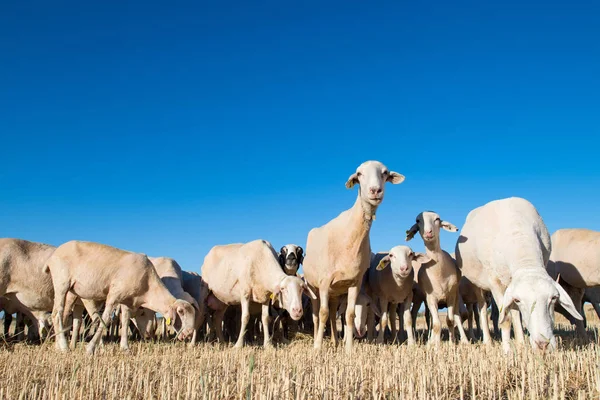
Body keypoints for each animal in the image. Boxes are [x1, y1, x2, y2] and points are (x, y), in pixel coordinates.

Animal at [45, 241, 195, 354]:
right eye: (181, 312)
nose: (188, 333)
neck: (148, 286)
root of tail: (54, 255)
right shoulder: (114, 295)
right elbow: (105, 320)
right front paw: (90, 348)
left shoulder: (127, 300)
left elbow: (126, 320)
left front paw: (125, 348)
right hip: (62, 282)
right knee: (57, 313)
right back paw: (64, 347)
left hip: (71, 291)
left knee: (64, 314)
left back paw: (59, 346)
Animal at [302, 160, 406, 354]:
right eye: (359, 174)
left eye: (385, 173)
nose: (375, 190)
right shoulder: (324, 282)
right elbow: (323, 313)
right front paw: (318, 348)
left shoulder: (354, 282)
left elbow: (349, 314)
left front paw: (349, 348)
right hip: (314, 289)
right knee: (317, 315)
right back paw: (317, 342)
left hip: (335, 292)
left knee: (333, 313)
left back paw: (335, 342)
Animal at [406, 211, 472, 346]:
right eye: (418, 221)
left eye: (437, 219)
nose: (428, 232)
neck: (438, 272)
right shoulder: (431, 299)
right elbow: (436, 324)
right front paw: (434, 345)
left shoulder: (451, 296)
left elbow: (450, 320)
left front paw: (452, 343)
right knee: (431, 319)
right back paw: (431, 340)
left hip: (456, 297)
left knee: (458, 316)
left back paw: (463, 340)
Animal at [454, 198, 580, 352]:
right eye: (520, 300)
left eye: (554, 298)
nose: (543, 344)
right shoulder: (495, 283)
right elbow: (505, 319)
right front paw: (507, 351)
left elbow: (516, 315)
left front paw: (521, 345)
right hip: (479, 284)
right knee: (482, 310)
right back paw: (488, 342)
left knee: (513, 312)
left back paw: (520, 343)